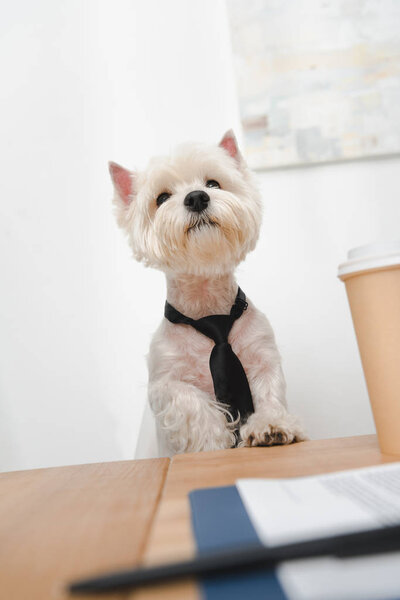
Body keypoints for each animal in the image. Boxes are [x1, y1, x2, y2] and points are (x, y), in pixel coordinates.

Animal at [109, 130, 306, 454]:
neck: (208, 311)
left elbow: (268, 395)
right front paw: (214, 441)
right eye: (161, 198)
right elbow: (190, 400)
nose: (196, 197)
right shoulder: (164, 380)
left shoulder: (263, 357)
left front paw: (271, 426)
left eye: (213, 183)